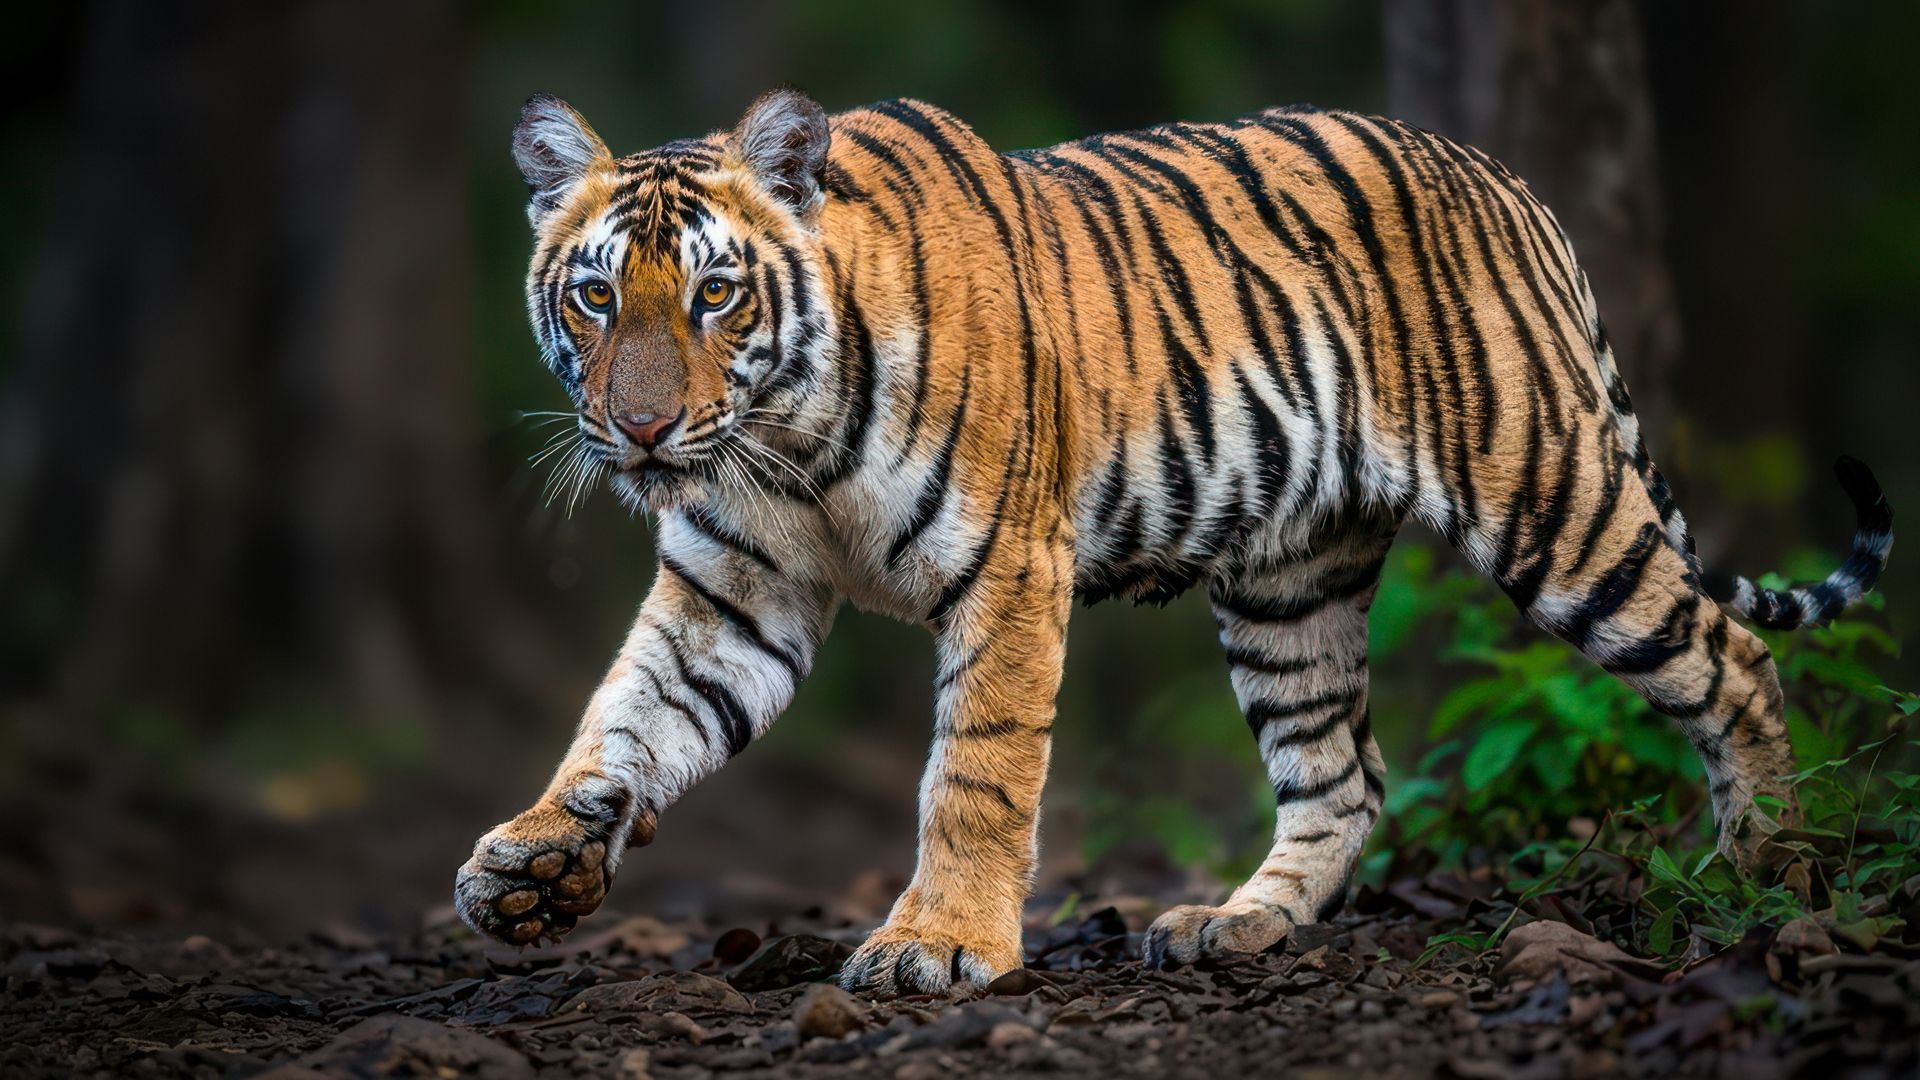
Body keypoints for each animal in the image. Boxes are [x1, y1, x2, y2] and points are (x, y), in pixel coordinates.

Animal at [454, 89, 1894, 996]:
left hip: (1553, 500)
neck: (785, 446)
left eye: (715, 292)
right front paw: (536, 858)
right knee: (1343, 772)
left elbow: (975, 774)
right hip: (1287, 586)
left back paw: (1771, 864)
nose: (641, 430)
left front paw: (940, 947)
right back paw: (1235, 927)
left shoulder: (1008, 570)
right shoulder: (731, 595)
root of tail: (1502, 179)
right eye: (595, 296)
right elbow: (626, 715)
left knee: (1729, 656)